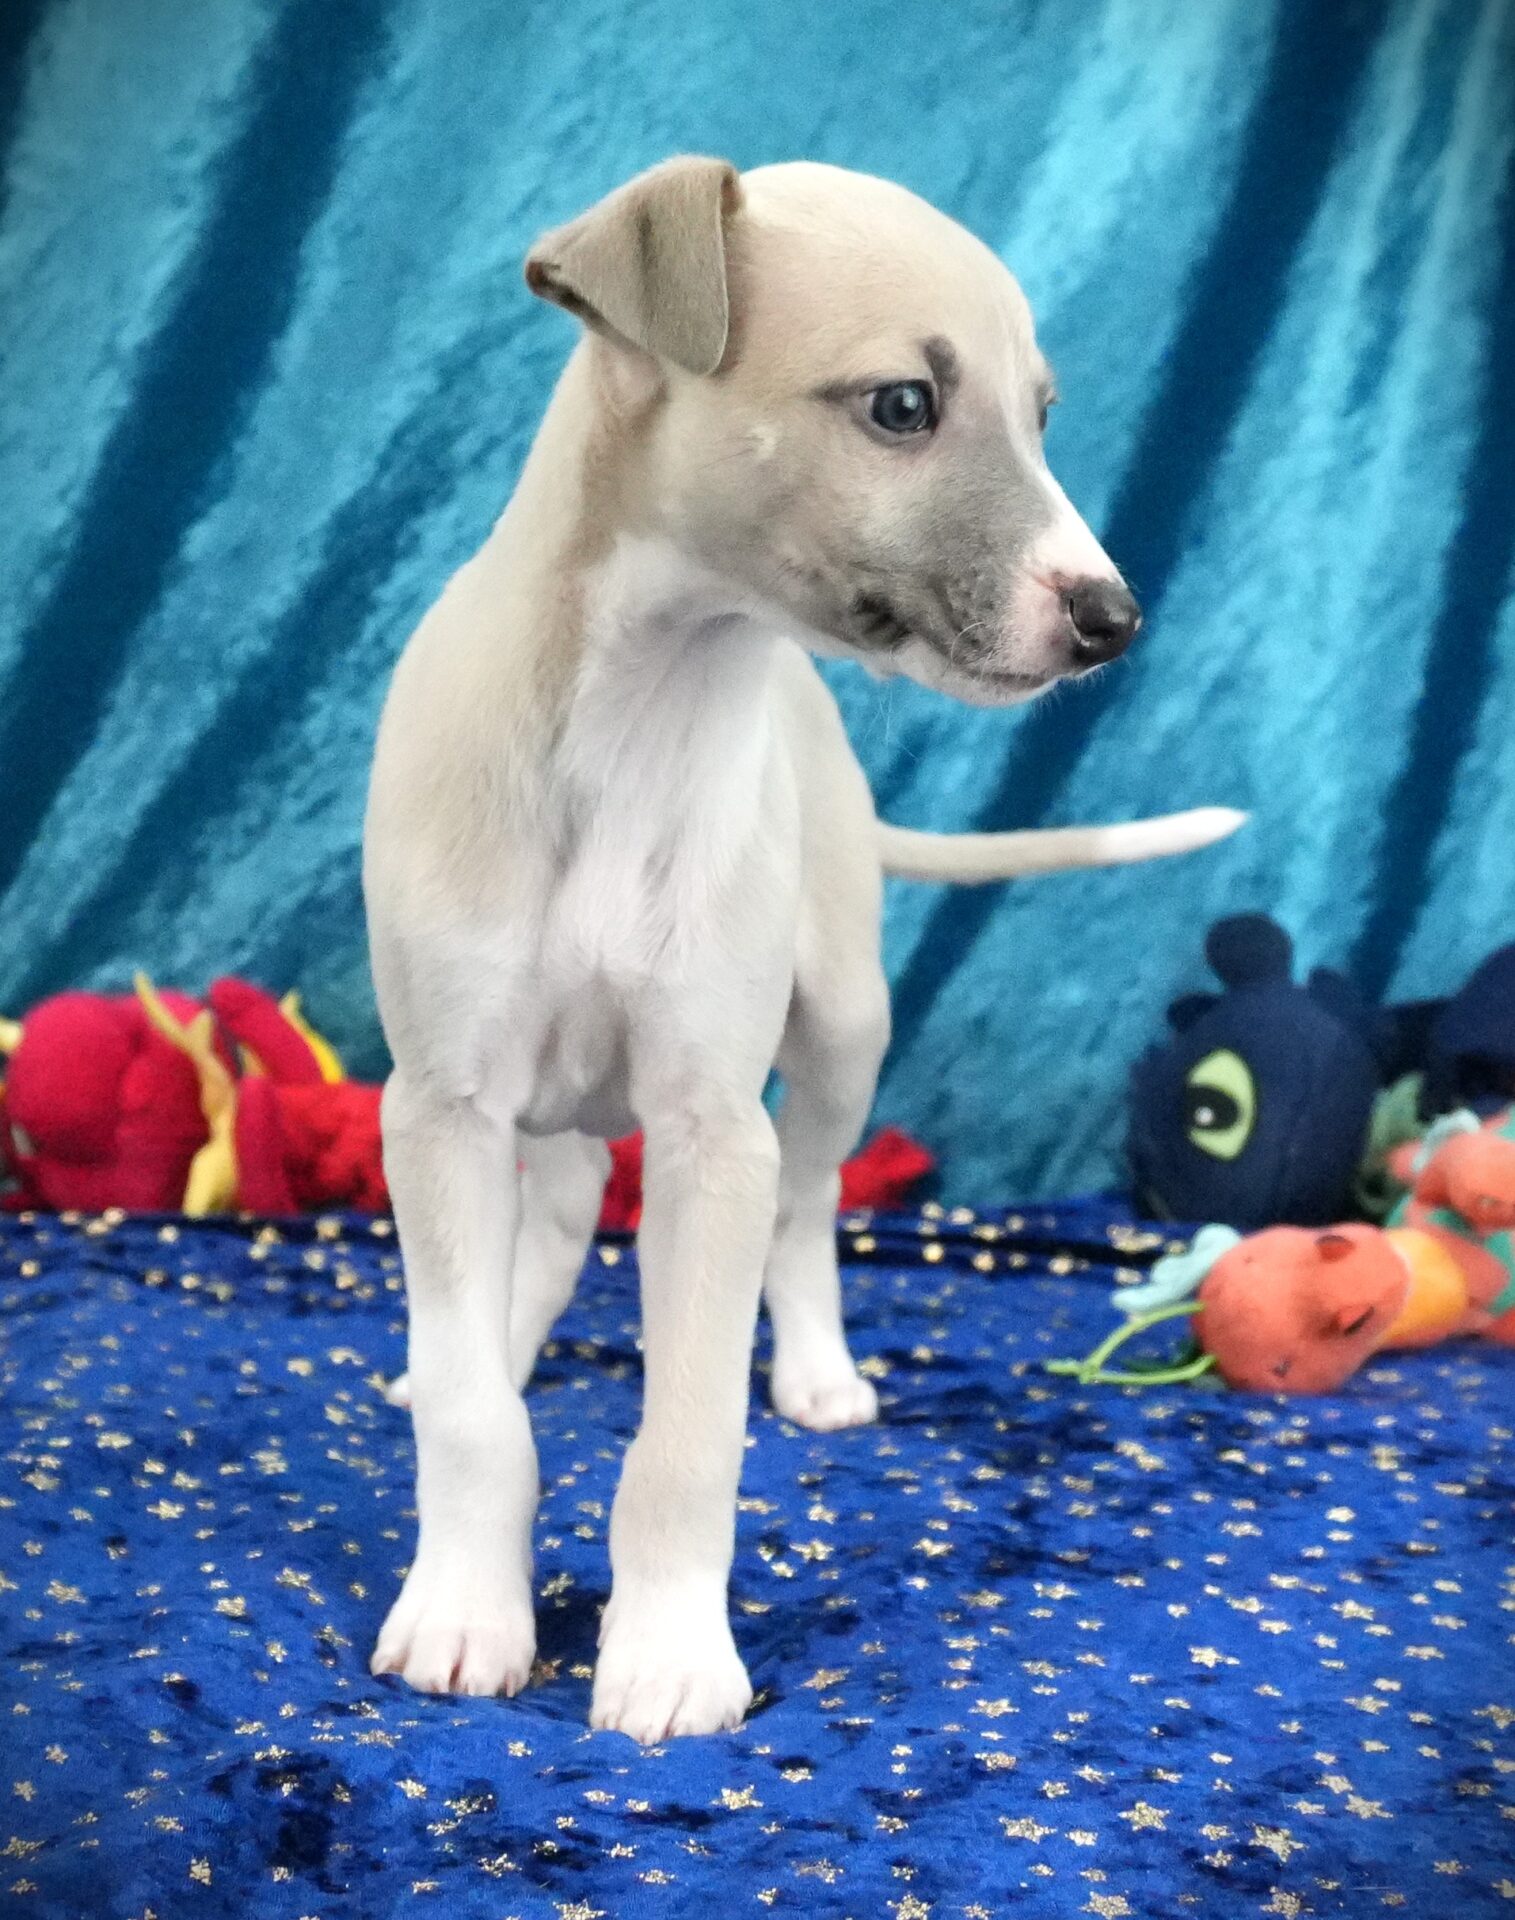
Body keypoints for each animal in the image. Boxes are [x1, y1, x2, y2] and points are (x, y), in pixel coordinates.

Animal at [363, 157, 1241, 1742]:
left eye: (1042, 412)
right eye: (903, 405)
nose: (1113, 618)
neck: (643, 706)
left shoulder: (715, 1129)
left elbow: (689, 1433)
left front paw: (666, 1656)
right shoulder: (439, 1105)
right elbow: (472, 1415)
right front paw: (464, 1607)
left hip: (837, 1031)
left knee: (808, 1203)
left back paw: (822, 1373)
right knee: (559, 1213)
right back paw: (496, 1338)